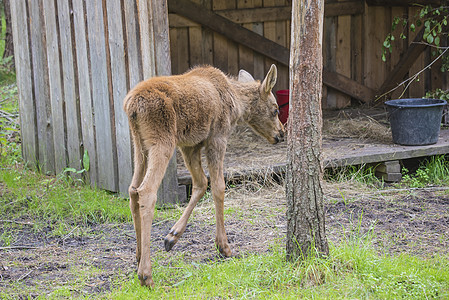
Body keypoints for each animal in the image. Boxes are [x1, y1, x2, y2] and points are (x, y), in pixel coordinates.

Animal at [122, 64, 284, 288]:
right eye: (275, 109)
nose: (281, 134)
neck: (237, 105)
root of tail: (132, 106)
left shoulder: (190, 145)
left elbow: (201, 183)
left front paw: (172, 236)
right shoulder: (217, 137)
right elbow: (218, 186)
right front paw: (224, 246)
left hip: (140, 144)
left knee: (133, 190)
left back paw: (138, 257)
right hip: (162, 141)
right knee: (147, 191)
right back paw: (146, 274)